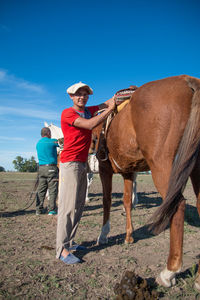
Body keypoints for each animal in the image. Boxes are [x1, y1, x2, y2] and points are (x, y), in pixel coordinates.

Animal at [95, 75, 200, 290]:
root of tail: (189, 81)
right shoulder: (128, 173)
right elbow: (127, 202)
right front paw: (128, 236)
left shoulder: (104, 170)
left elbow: (107, 201)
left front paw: (103, 235)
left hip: (163, 165)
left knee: (178, 204)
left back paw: (169, 272)